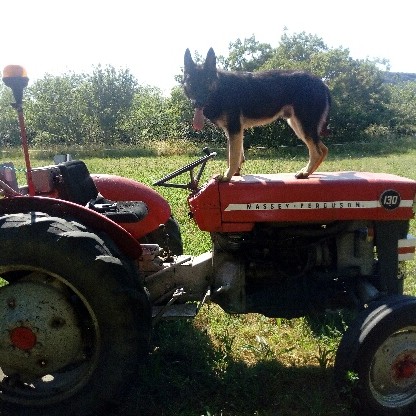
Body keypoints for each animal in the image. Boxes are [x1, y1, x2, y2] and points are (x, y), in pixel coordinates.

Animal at [182, 47, 332, 180]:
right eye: (191, 83)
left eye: (206, 81)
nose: (198, 103)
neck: (220, 88)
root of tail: (322, 83)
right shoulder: (233, 132)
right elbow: (236, 155)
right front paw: (235, 173)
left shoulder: (234, 129)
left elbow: (233, 156)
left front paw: (227, 176)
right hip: (298, 126)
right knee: (323, 149)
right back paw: (308, 171)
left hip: (303, 126)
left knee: (317, 152)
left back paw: (305, 173)